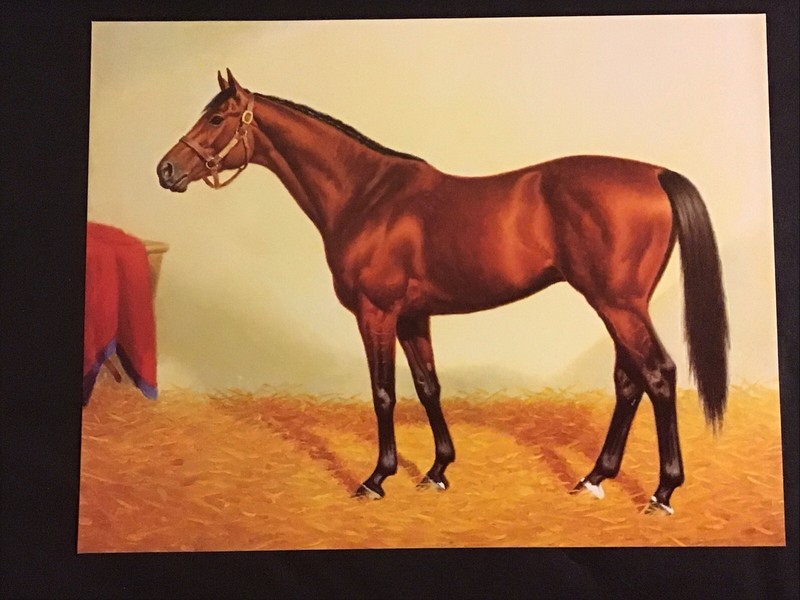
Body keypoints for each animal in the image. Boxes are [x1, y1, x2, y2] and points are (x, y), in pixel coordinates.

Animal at [157, 70, 728, 514]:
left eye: (216, 119)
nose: (166, 170)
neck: (367, 196)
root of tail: (656, 174)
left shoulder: (376, 313)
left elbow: (384, 393)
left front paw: (376, 478)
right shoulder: (414, 317)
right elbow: (428, 387)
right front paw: (436, 470)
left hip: (618, 304)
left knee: (658, 375)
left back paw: (662, 492)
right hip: (618, 306)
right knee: (630, 382)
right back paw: (593, 478)